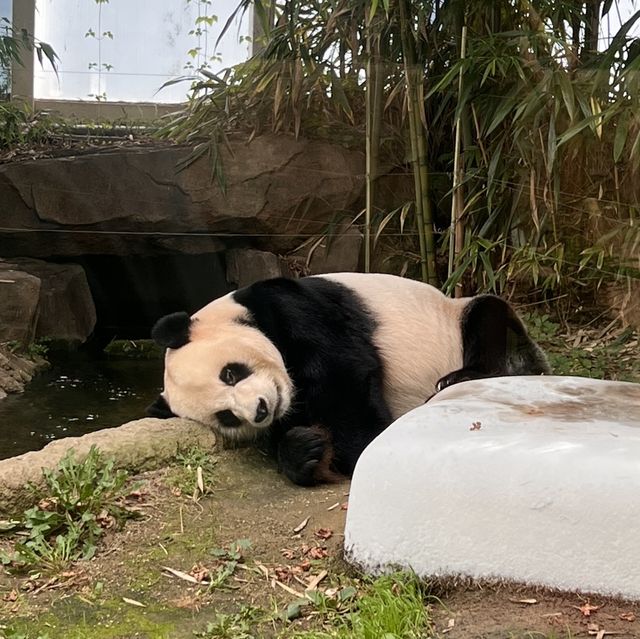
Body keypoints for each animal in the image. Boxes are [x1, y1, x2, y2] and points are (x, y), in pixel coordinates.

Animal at [148, 272, 548, 488]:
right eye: (227, 417)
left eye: (231, 373)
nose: (260, 409)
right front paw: (305, 451)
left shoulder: (293, 307)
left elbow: (345, 374)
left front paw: (362, 448)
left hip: (461, 320)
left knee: (489, 318)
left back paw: (462, 376)